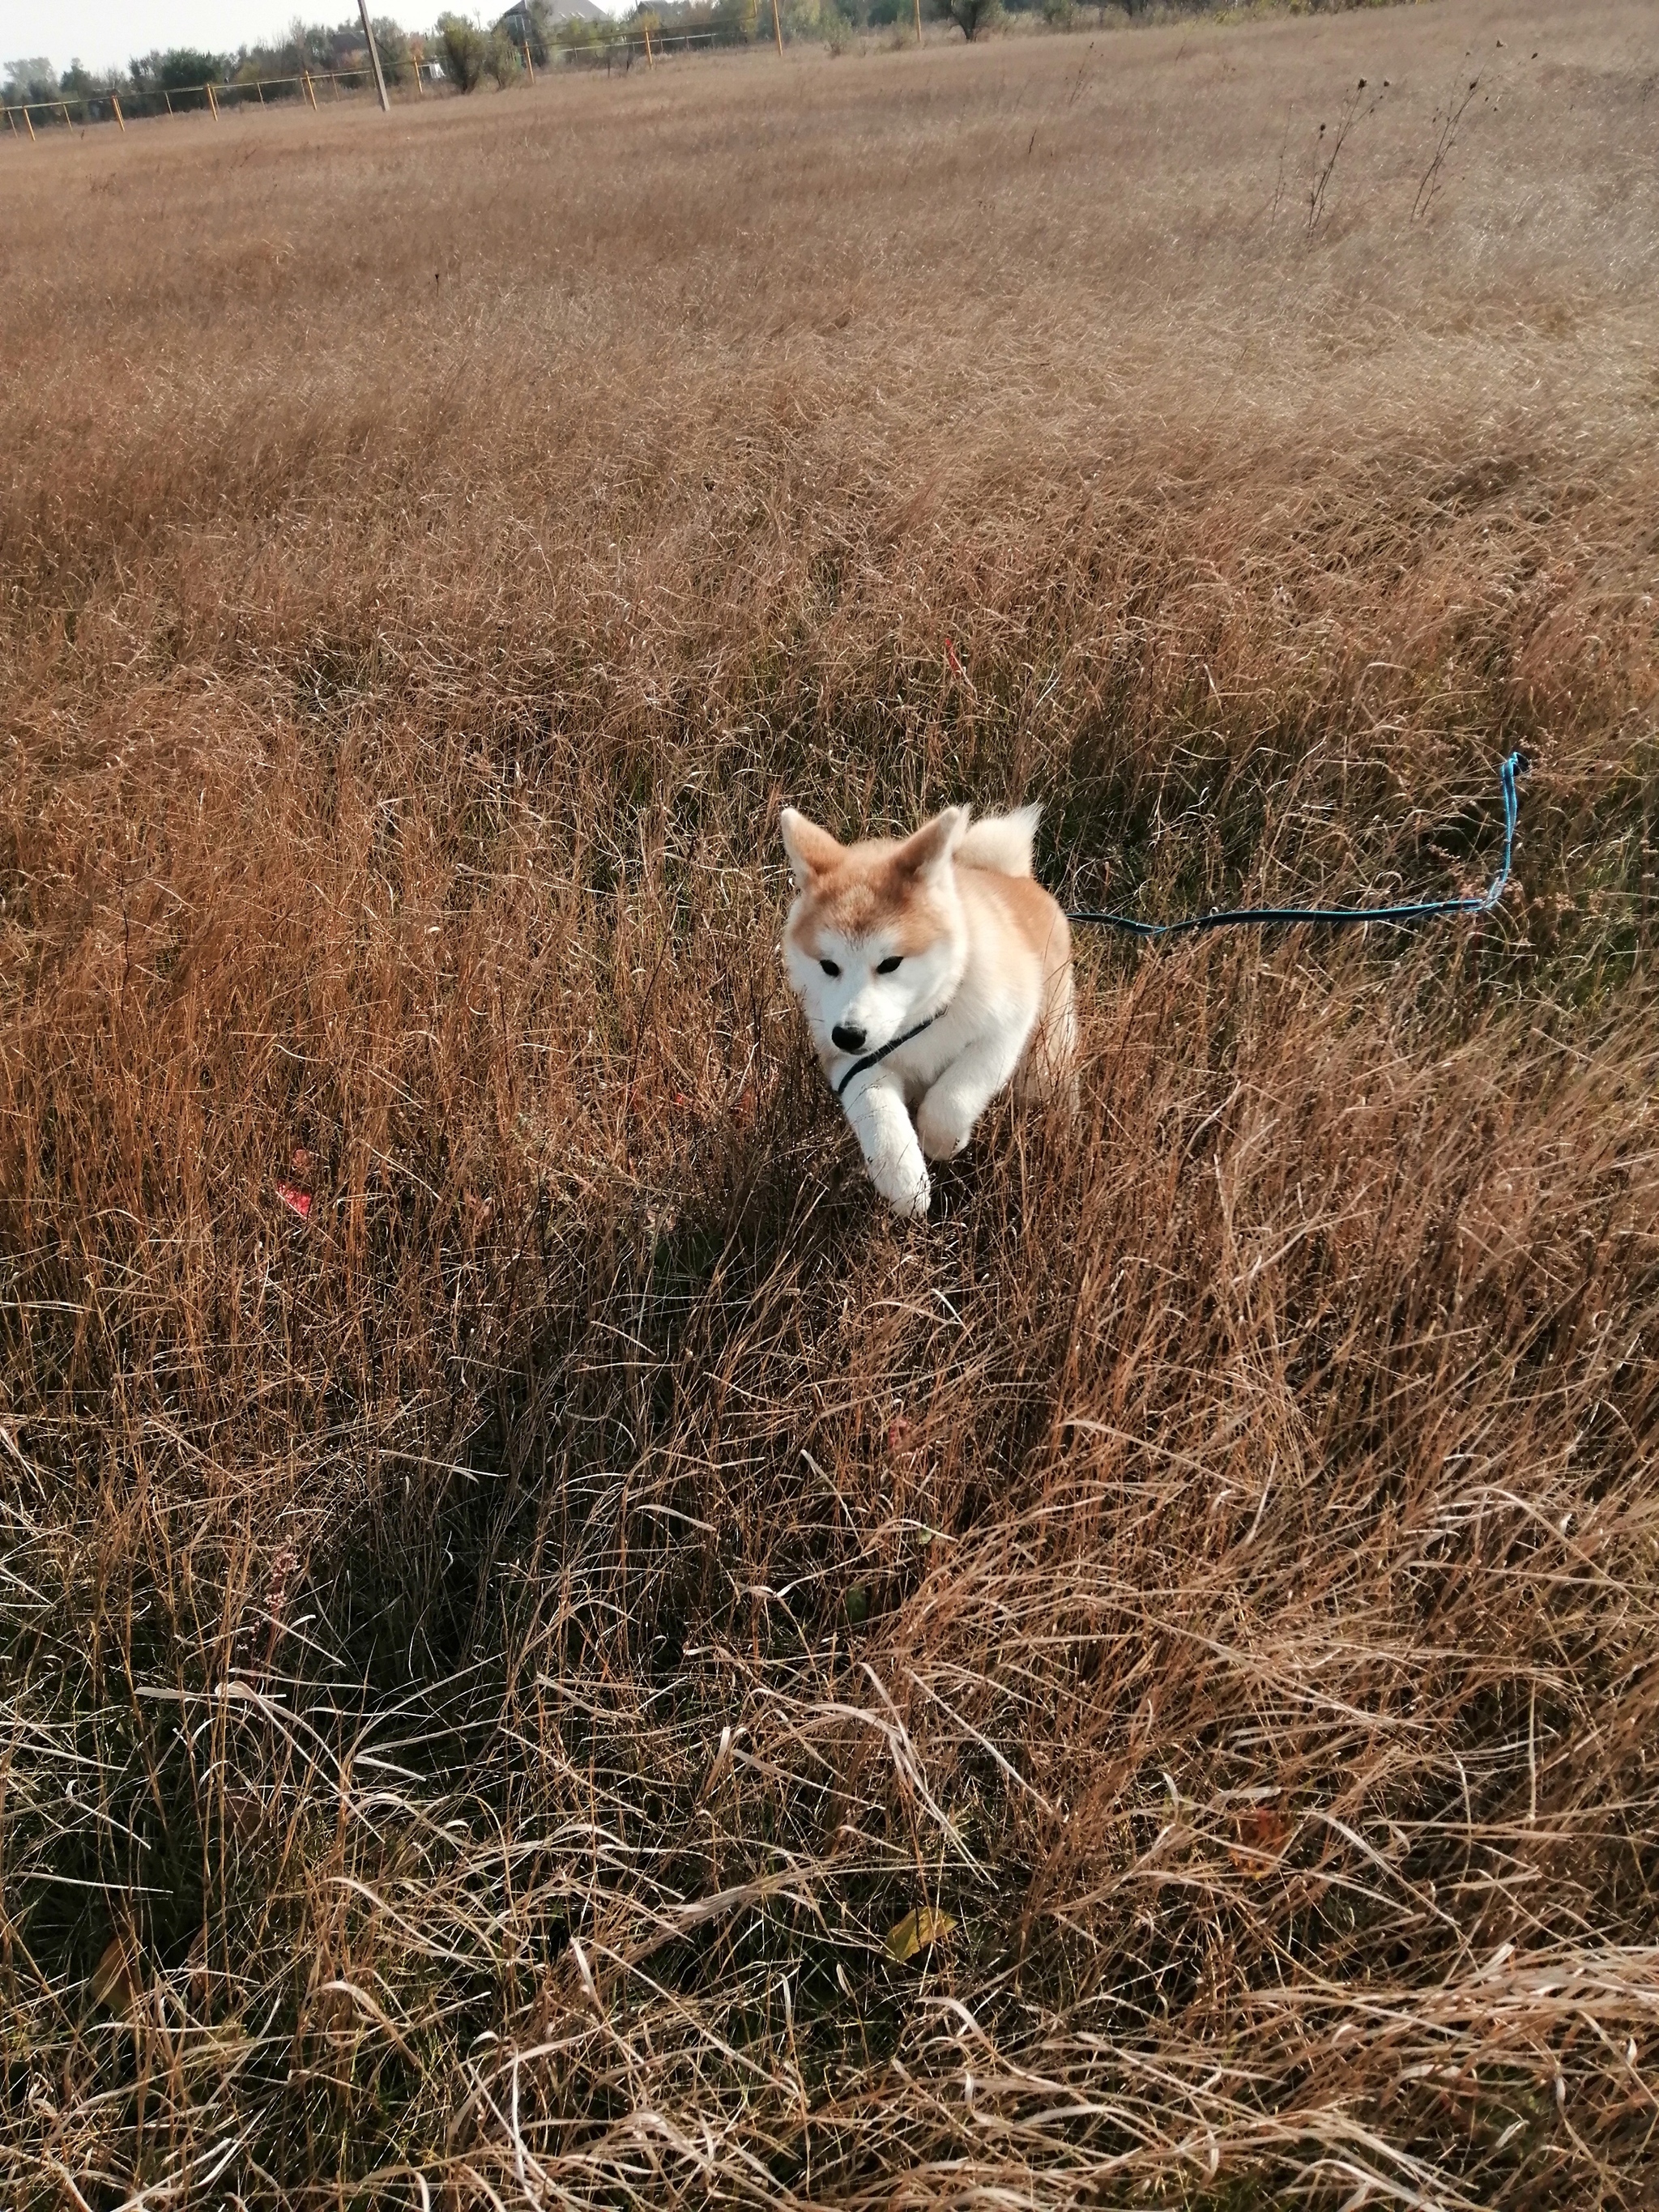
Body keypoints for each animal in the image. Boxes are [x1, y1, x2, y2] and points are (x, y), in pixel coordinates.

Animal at [778, 800, 1079, 1221]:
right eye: (828, 966)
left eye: (890, 963)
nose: (849, 1034)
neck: (918, 1025)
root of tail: (1012, 875)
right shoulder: (847, 1060)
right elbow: (876, 1110)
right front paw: (903, 1180)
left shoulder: (1005, 1027)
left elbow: (953, 1098)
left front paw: (941, 1141)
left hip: (1045, 1059)